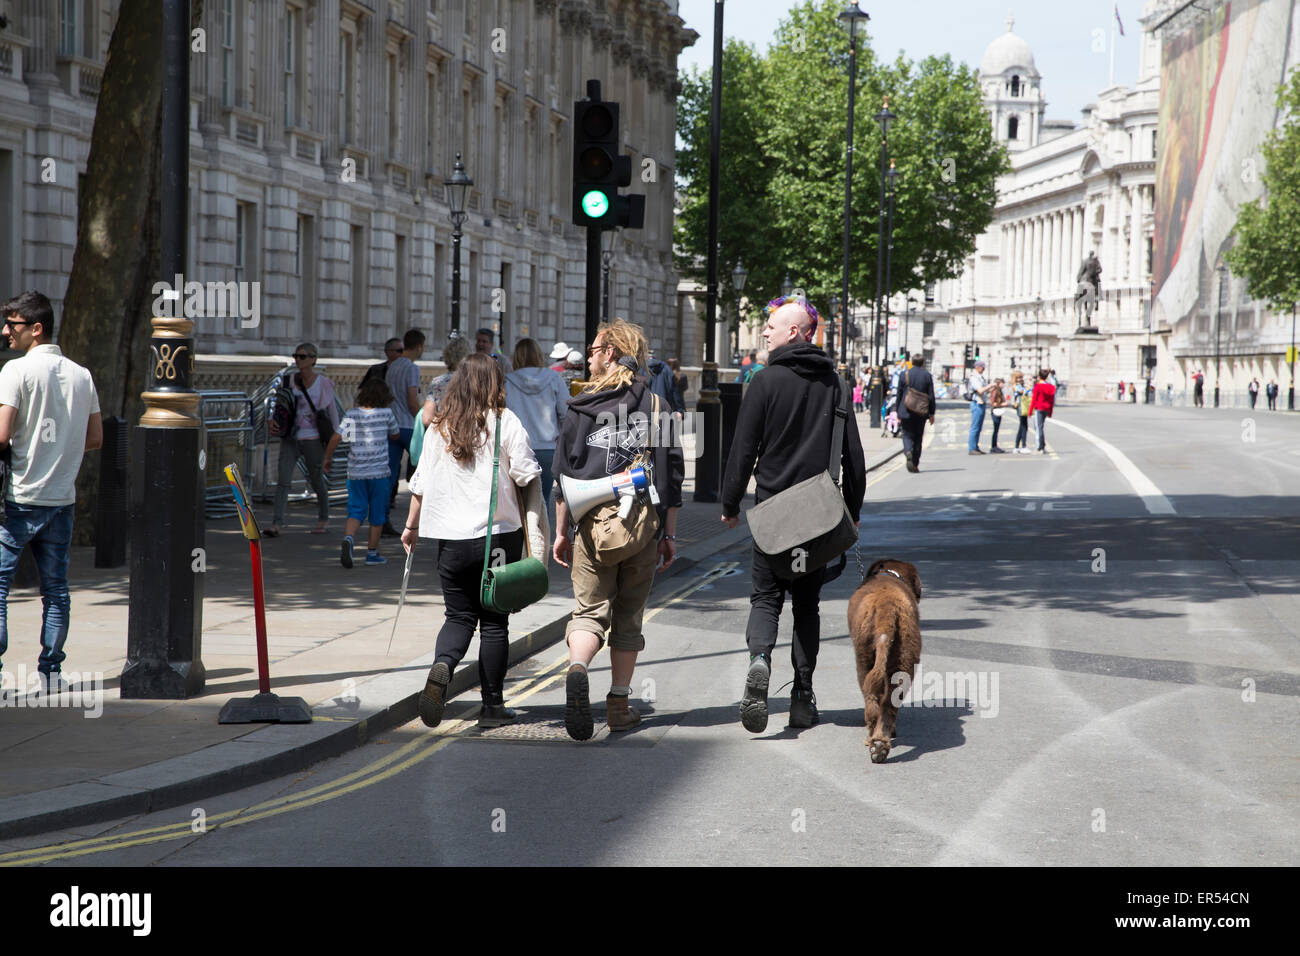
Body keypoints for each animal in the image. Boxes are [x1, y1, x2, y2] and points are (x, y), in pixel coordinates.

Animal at [847, 556, 920, 764]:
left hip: (863, 659)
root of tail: (886, 613)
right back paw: (880, 744)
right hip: (904, 658)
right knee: (888, 703)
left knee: (872, 700)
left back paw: (873, 740)